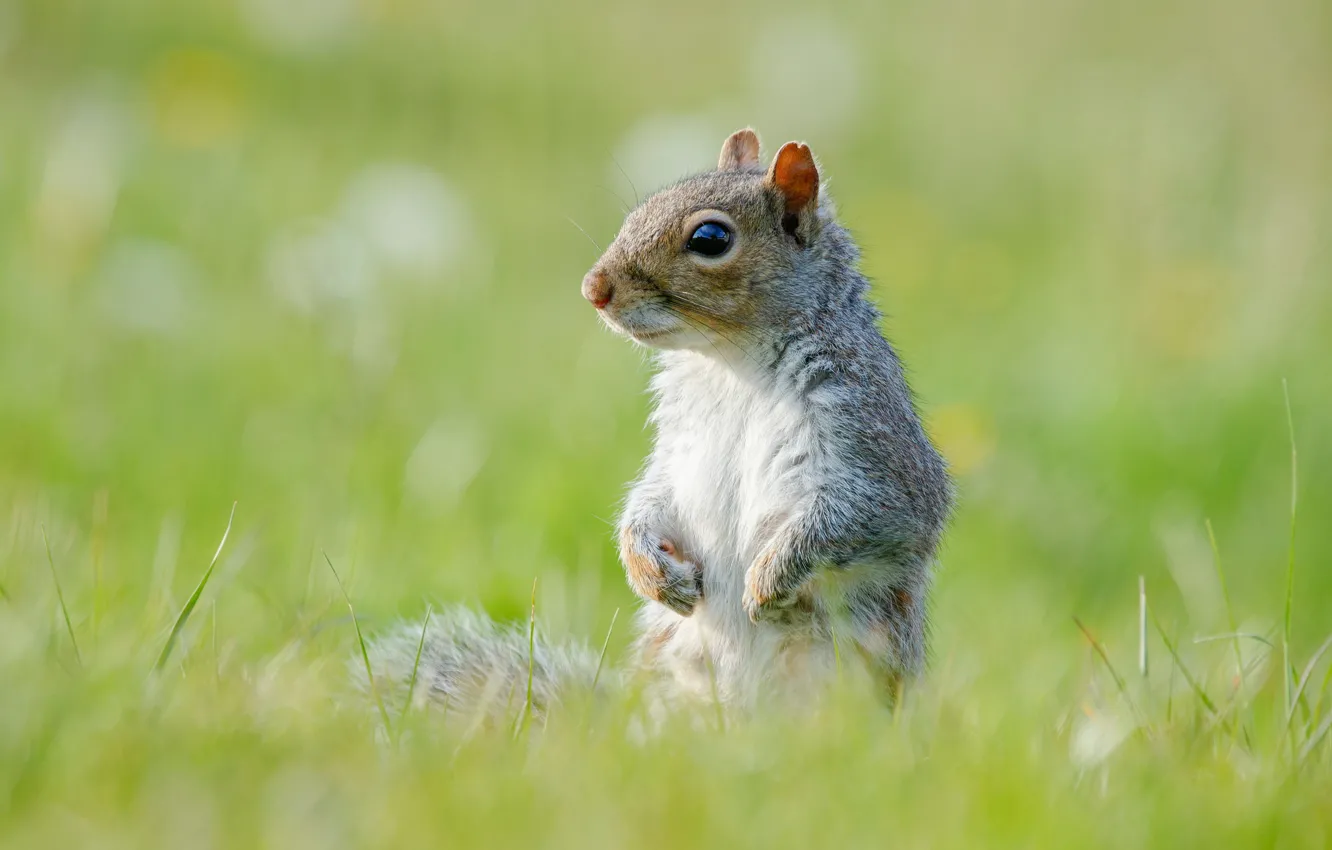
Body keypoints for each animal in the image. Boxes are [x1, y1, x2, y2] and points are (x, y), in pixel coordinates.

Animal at [362, 129, 948, 724]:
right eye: (637, 213)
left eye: (710, 238)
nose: (593, 288)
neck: (730, 363)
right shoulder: (678, 445)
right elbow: (651, 497)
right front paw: (648, 569)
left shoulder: (868, 435)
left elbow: (863, 516)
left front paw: (769, 579)